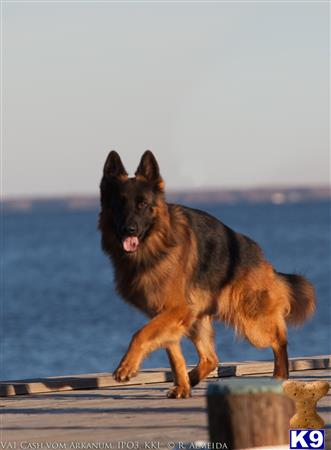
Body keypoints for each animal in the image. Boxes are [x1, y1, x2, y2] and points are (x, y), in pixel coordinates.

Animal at [98, 150, 316, 398]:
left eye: (142, 204)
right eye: (119, 205)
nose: (129, 230)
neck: (154, 247)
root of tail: (262, 258)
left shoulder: (177, 309)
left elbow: (140, 334)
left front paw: (126, 367)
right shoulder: (168, 314)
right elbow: (173, 354)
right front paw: (182, 386)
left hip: (251, 321)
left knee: (280, 338)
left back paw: (280, 375)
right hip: (199, 319)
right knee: (211, 359)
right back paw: (190, 380)